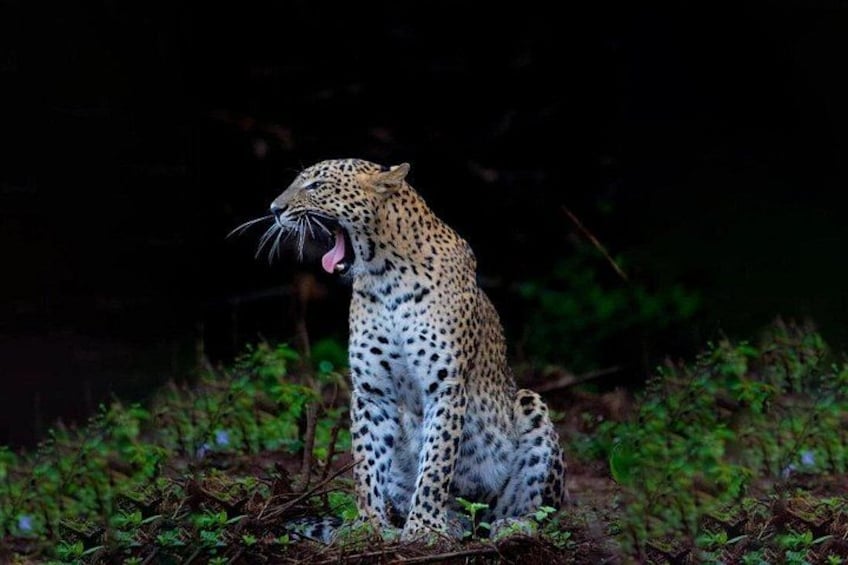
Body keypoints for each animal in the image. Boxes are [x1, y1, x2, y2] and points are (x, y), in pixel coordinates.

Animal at [243, 158, 566, 541]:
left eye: (316, 185)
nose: (274, 210)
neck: (386, 275)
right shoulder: (372, 391)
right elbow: (366, 464)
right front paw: (368, 526)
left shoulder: (445, 387)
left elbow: (437, 463)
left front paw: (424, 527)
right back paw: (448, 521)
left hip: (530, 406)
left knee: (536, 512)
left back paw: (510, 524)